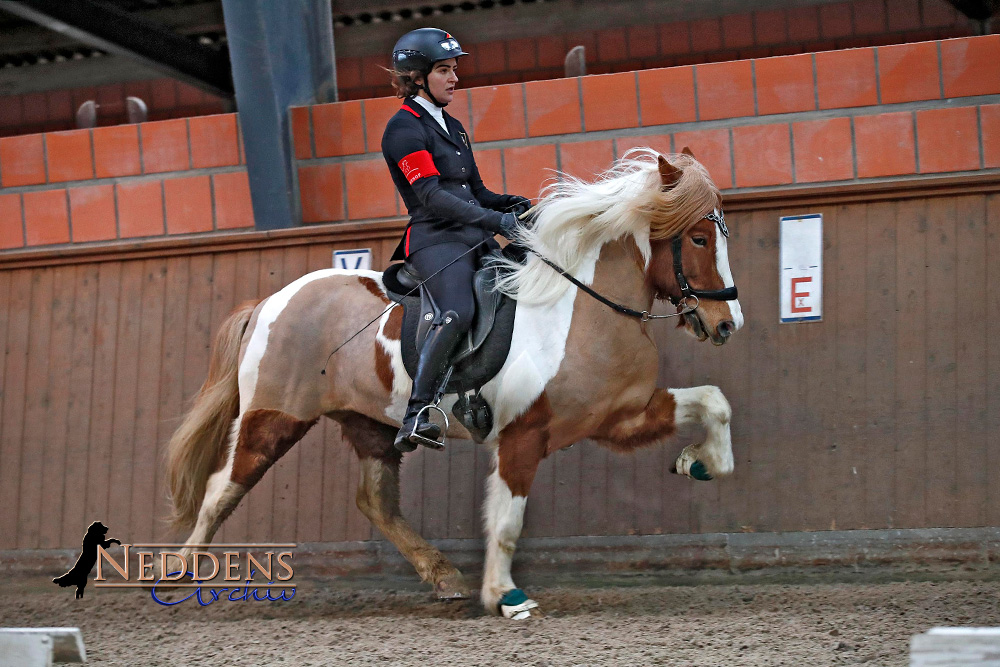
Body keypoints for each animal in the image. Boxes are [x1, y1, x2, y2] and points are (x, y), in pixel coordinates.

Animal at [164, 149, 744, 620]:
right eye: (698, 237)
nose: (726, 325)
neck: (580, 307)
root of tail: (270, 301)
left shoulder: (618, 416)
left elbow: (714, 402)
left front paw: (699, 463)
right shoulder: (524, 435)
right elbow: (507, 520)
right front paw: (506, 597)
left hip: (372, 424)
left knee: (375, 501)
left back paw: (444, 577)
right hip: (273, 418)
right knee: (220, 491)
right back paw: (178, 576)